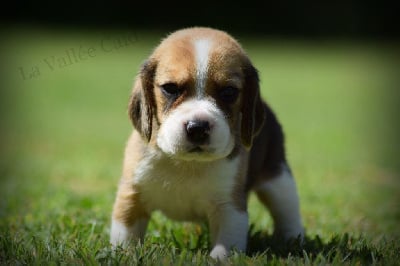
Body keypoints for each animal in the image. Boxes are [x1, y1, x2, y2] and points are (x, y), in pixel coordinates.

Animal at [109, 27, 304, 260]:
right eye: (170, 88)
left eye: (228, 92)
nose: (198, 128)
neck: (187, 164)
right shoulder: (131, 196)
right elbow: (125, 236)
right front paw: (124, 255)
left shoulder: (230, 208)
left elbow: (226, 244)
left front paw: (218, 260)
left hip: (279, 179)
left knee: (287, 212)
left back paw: (293, 241)